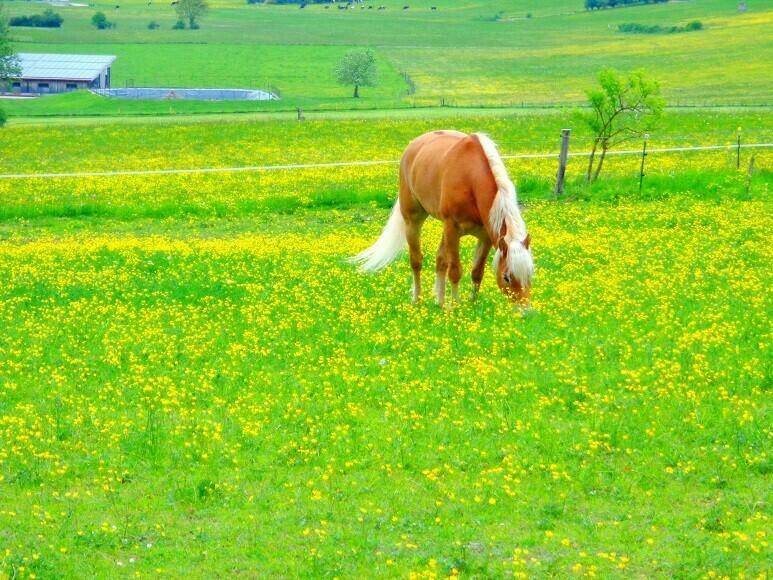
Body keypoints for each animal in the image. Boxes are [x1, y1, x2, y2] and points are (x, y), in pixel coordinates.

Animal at [350, 130, 533, 306]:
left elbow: (477, 272)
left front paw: (472, 305)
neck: (470, 179)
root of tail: (414, 146)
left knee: (440, 260)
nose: (524, 312)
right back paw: (417, 299)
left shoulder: (486, 236)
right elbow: (455, 271)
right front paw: (455, 307)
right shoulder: (453, 228)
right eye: (506, 277)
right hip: (413, 221)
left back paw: (439, 301)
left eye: (531, 273)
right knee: (416, 261)